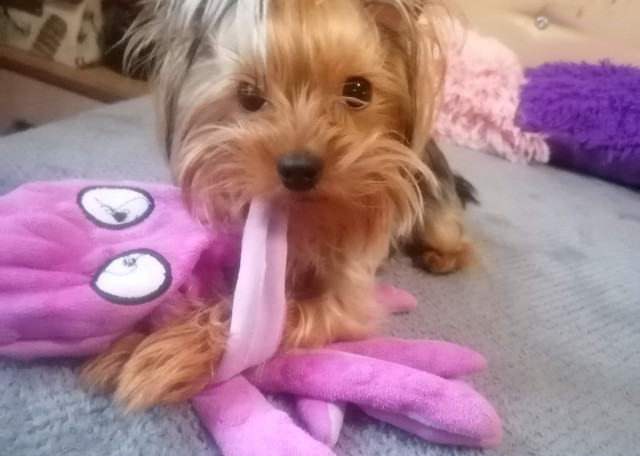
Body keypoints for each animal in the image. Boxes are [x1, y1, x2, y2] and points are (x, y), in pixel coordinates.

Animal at [81, 0, 476, 412]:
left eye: (358, 91)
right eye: (249, 96)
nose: (298, 169)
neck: (302, 217)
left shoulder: (343, 298)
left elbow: (261, 319)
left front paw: (172, 351)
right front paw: (131, 340)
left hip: (436, 208)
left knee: (452, 236)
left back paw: (442, 257)